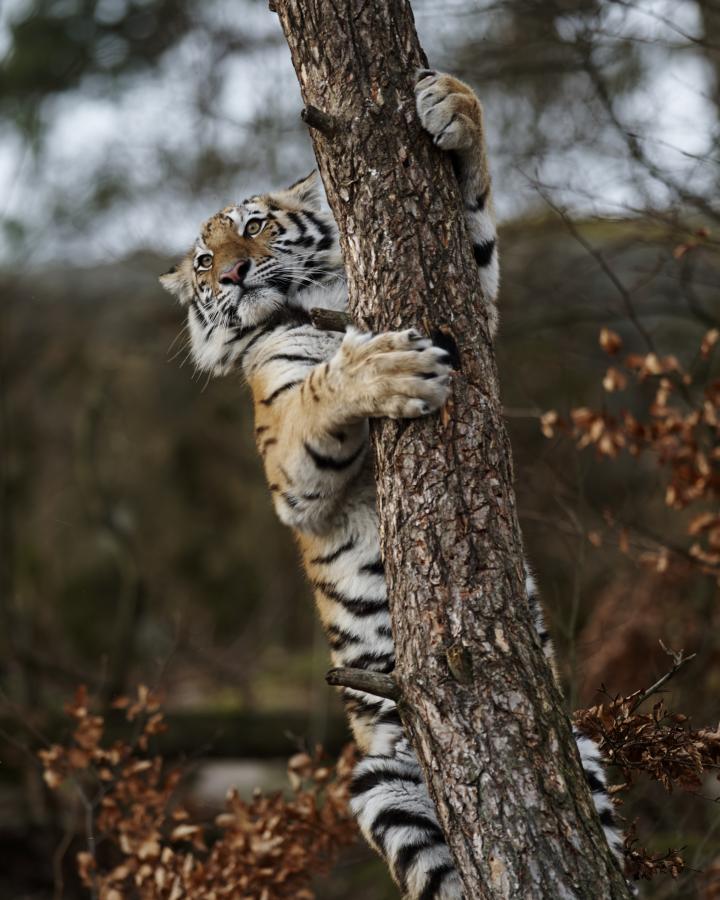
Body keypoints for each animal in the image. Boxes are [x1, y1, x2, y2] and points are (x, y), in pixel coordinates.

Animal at [160, 70, 624, 899]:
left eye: (255, 227)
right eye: (205, 262)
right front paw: (385, 369)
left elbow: (476, 231)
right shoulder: (288, 464)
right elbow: (322, 393)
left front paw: (449, 104)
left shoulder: (477, 309)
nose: (235, 274)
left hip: (583, 754)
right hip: (379, 783)